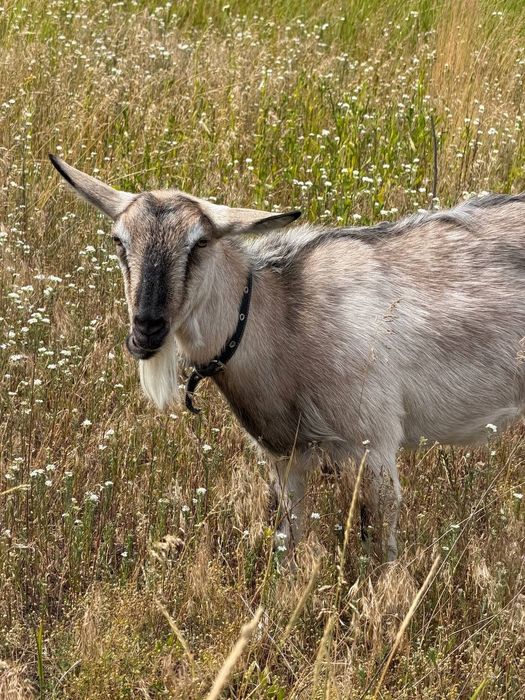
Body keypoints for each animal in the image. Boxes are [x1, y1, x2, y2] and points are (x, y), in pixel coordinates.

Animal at [50, 154, 525, 561]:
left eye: (199, 243)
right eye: (118, 240)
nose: (146, 329)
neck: (281, 313)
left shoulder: (372, 442)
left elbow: (380, 548)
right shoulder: (285, 454)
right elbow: (287, 537)